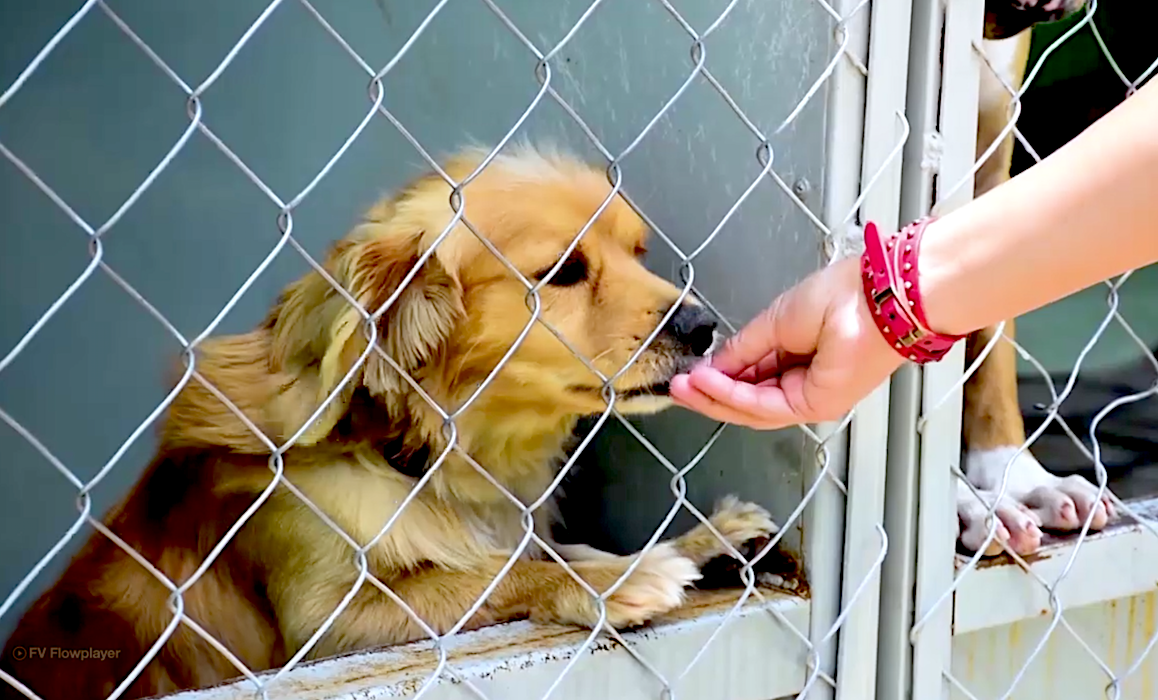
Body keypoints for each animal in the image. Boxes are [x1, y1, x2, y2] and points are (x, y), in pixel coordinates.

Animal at [0, 143, 792, 700]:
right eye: (564, 272)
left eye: (638, 253)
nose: (704, 327)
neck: (413, 454)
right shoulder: (327, 629)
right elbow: (489, 576)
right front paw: (618, 579)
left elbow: (549, 550)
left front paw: (701, 540)